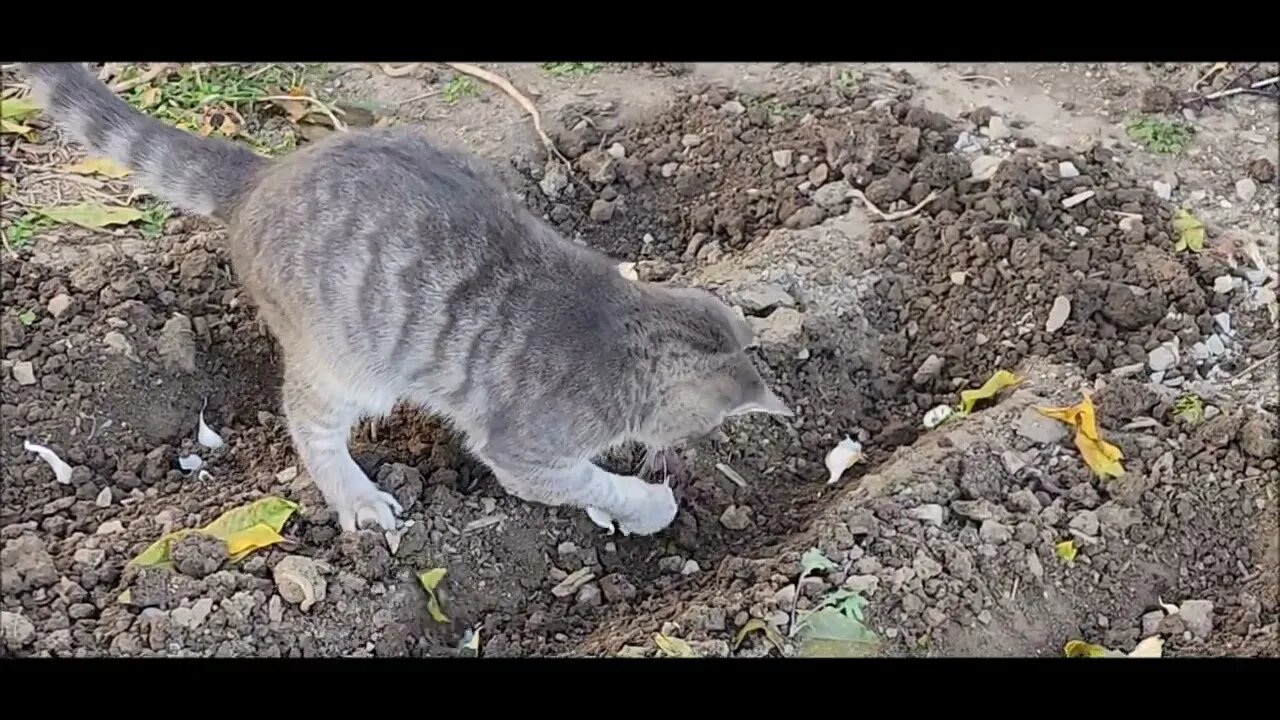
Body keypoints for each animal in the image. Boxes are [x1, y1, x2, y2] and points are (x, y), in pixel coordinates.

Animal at [22, 65, 788, 538]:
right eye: (697, 428)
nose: (676, 454)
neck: (622, 329)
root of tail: (264, 172)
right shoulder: (525, 451)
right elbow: (589, 483)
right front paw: (648, 502)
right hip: (344, 362)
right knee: (309, 424)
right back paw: (357, 497)